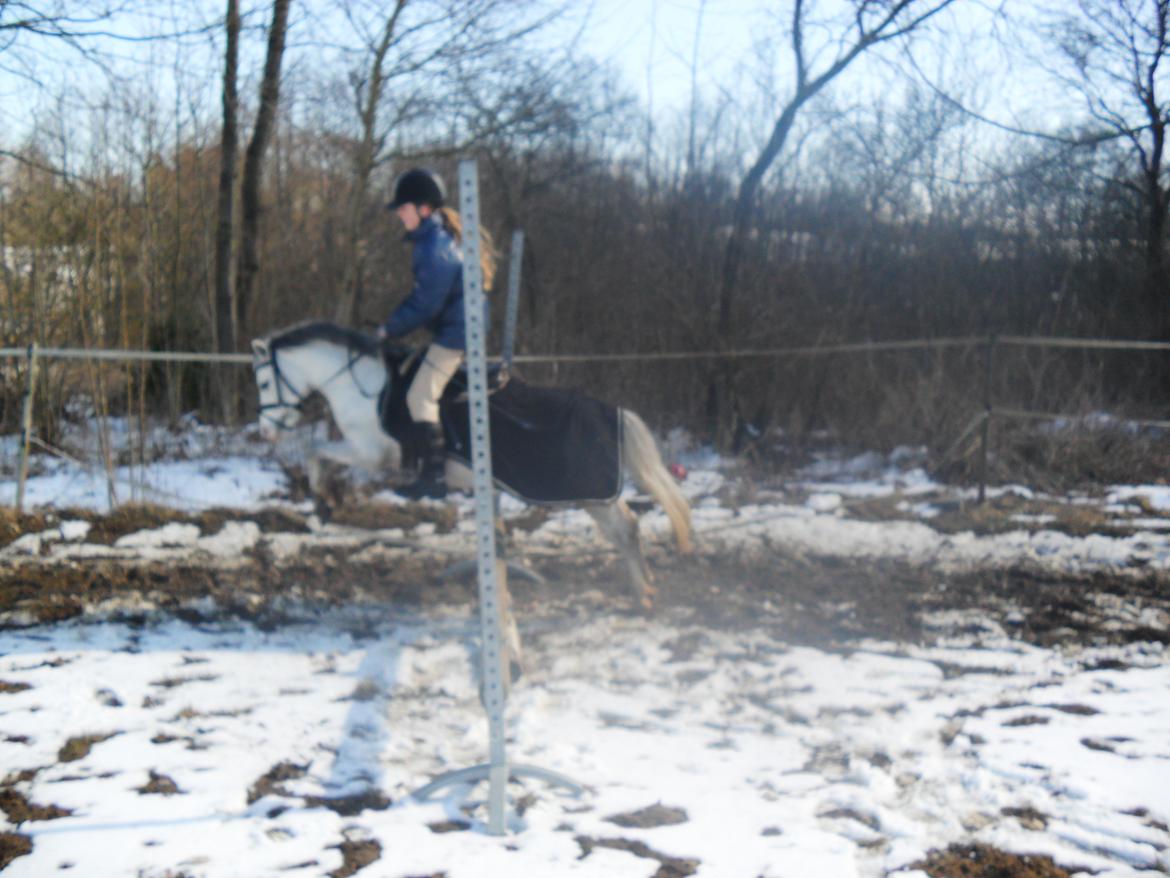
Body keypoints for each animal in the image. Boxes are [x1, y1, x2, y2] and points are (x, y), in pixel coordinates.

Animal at [245, 320, 683, 613]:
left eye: (263, 384)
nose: (265, 432)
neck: (361, 387)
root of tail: (612, 412)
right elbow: (318, 450)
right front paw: (328, 499)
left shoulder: (371, 452)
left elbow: (316, 450)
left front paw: (325, 498)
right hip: (598, 496)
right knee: (629, 528)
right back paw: (645, 589)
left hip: (594, 497)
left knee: (625, 530)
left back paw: (644, 594)